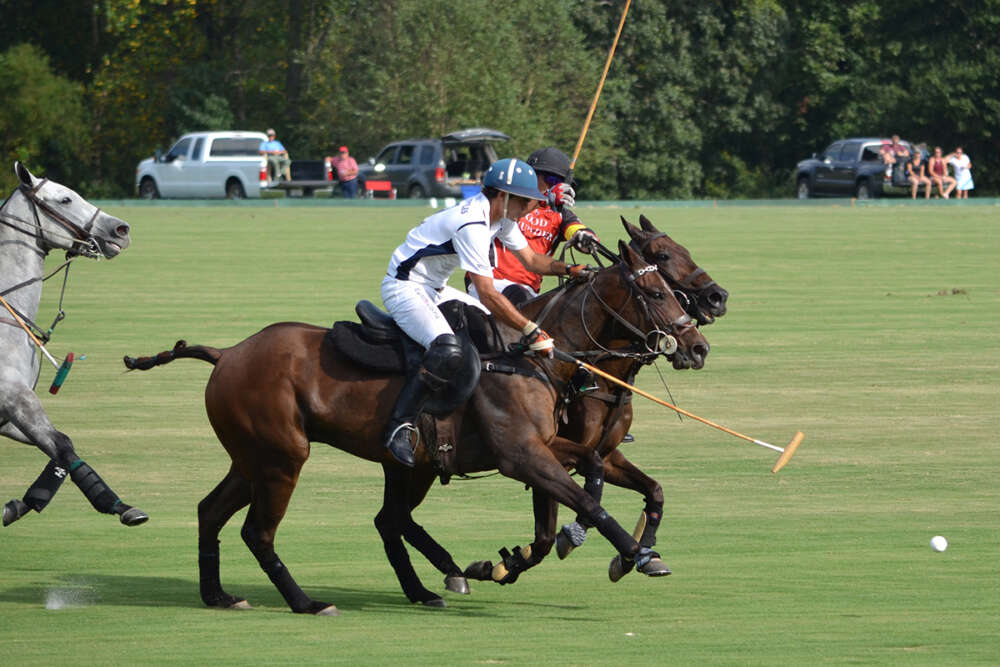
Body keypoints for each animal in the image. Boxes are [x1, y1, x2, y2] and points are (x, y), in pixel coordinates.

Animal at [0, 160, 147, 528]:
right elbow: (63, 445)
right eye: (65, 199)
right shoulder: (14, 397)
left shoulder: (9, 415)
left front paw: (20, 504)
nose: (121, 229)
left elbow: (61, 447)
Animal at [125, 240, 708, 616]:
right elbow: (582, 501)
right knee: (260, 530)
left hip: (264, 458)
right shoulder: (521, 454)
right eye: (659, 290)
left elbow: (603, 482)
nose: (698, 346)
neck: (535, 355)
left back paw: (221, 595)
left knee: (217, 511)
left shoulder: (552, 448)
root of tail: (227, 353)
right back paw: (307, 602)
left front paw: (548, 551)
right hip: (283, 459)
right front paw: (634, 555)